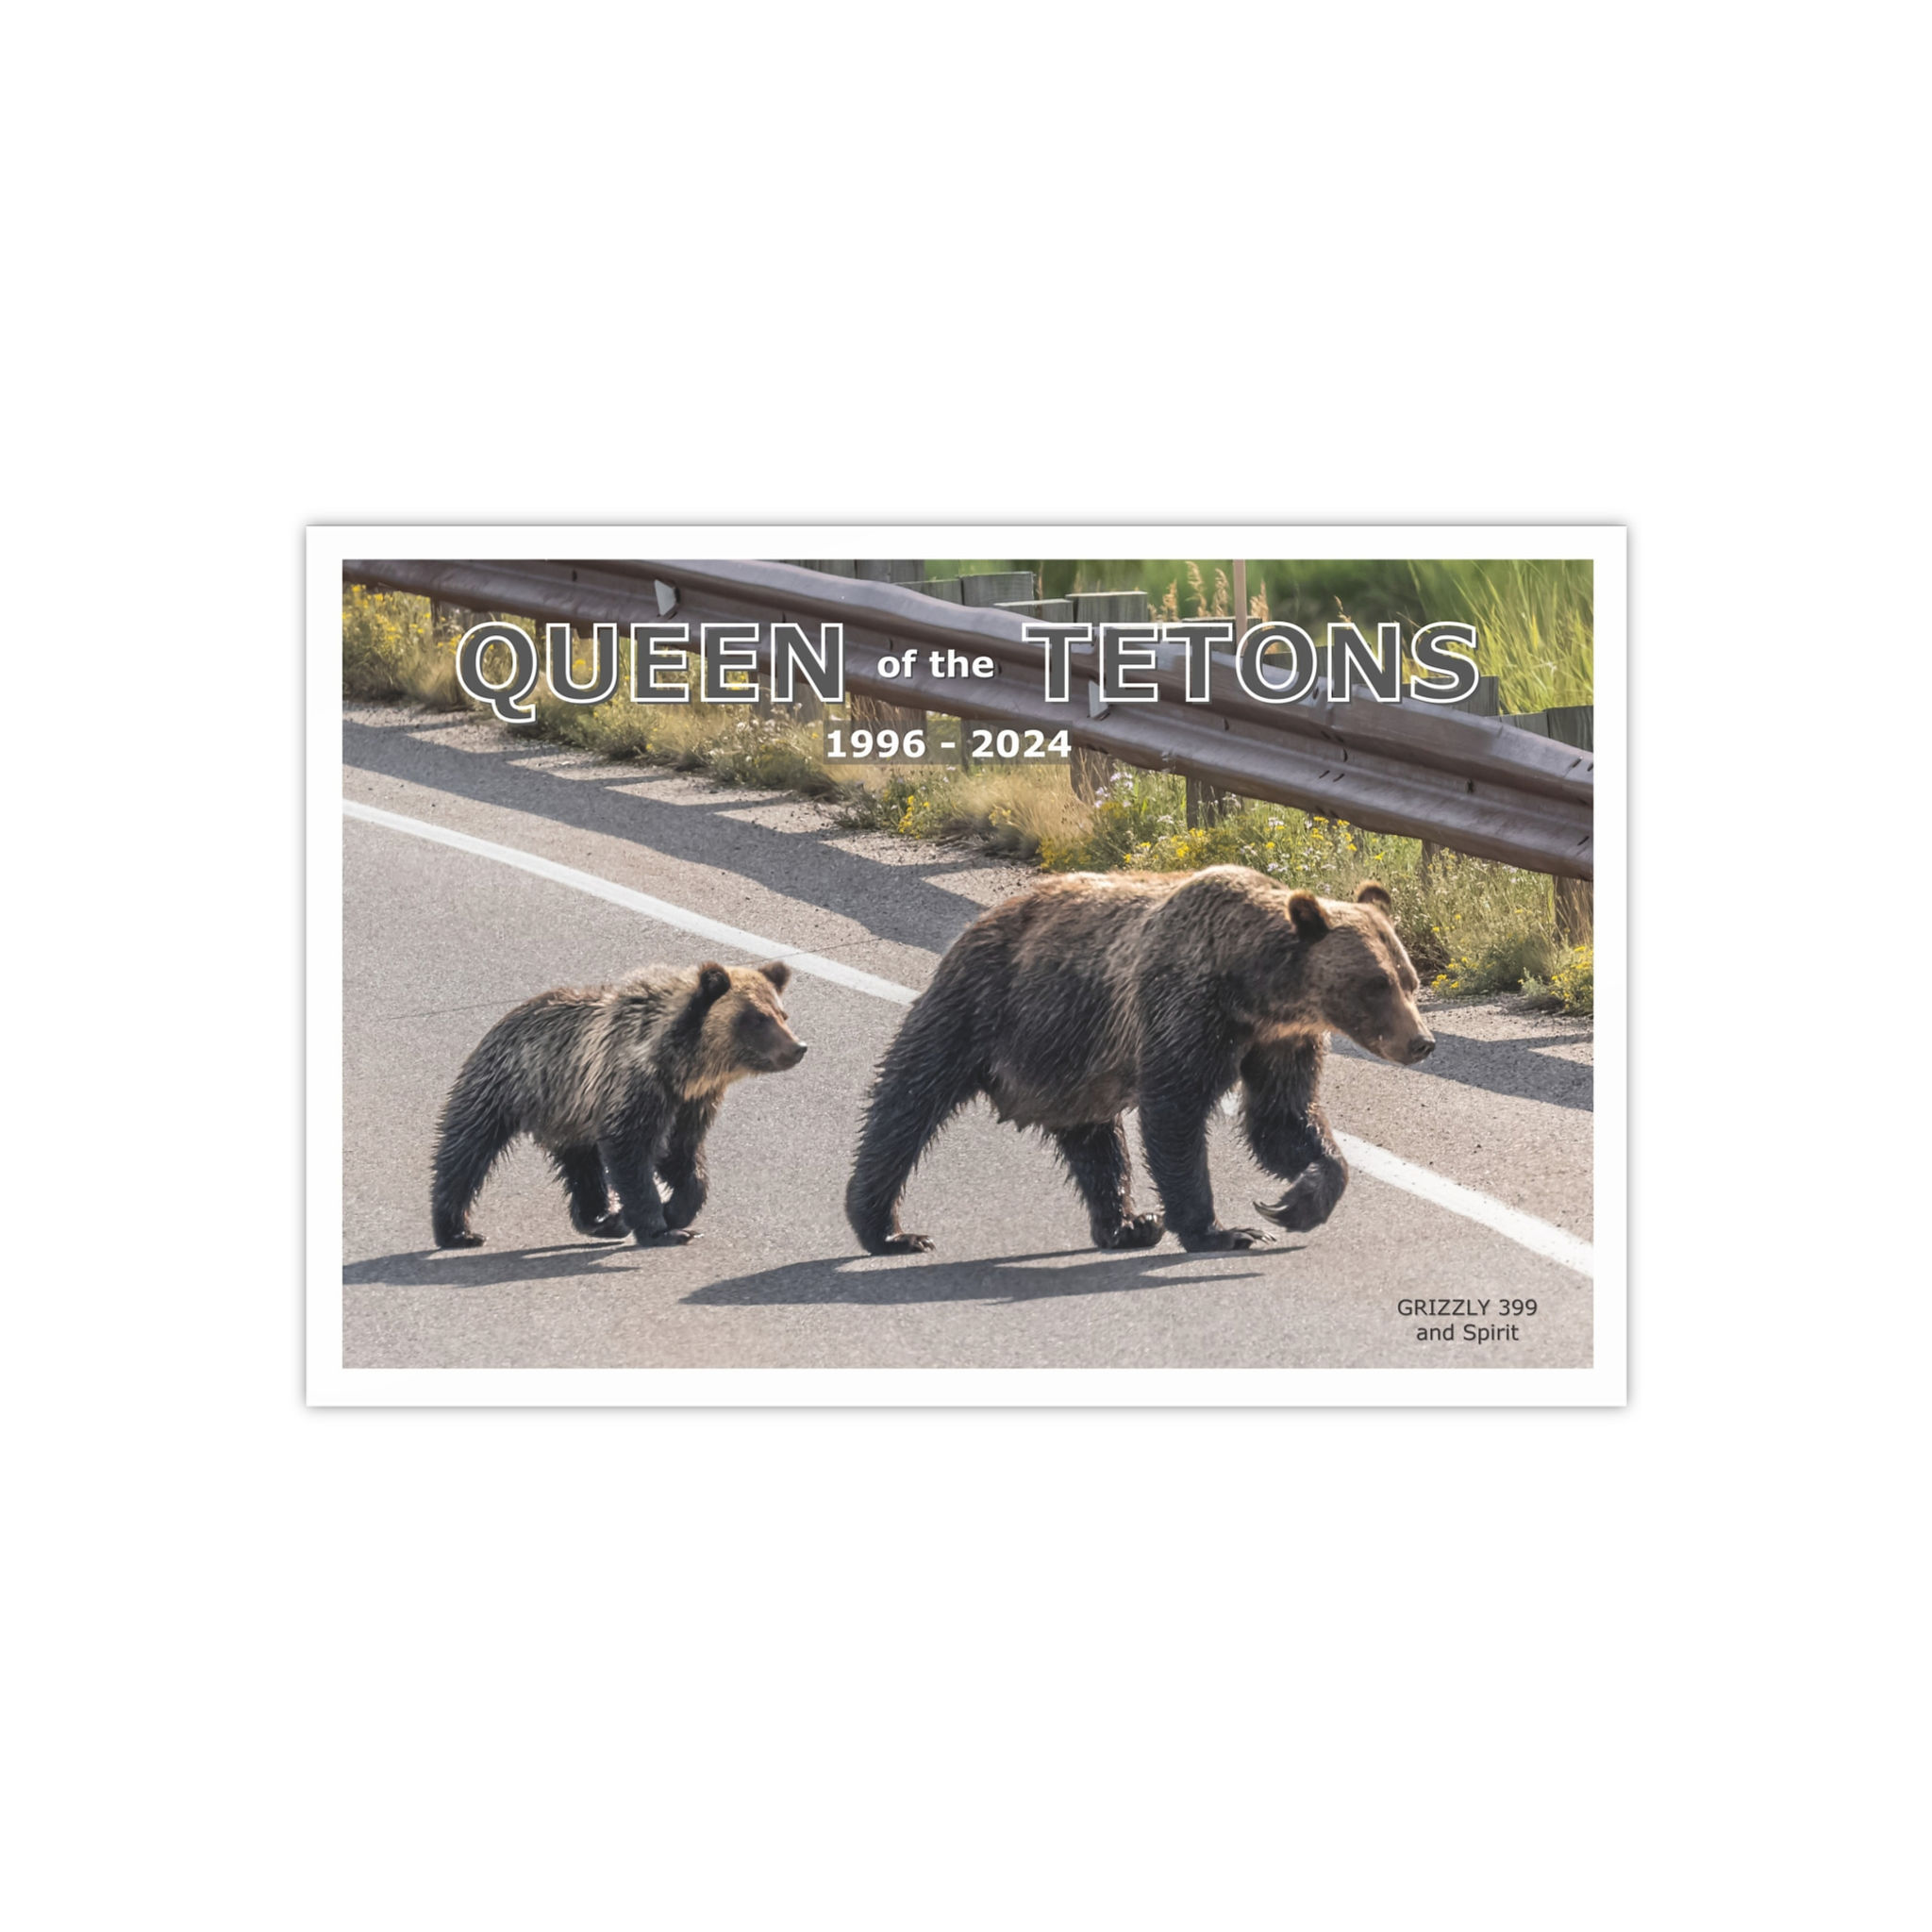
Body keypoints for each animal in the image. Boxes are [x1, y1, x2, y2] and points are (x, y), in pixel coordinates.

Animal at [431, 959, 806, 1249]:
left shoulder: (691, 1103)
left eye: (782, 1013)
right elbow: (632, 1153)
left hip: (570, 1115)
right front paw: (661, 1228)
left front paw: (676, 1211)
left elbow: (682, 1156)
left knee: (582, 1167)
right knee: (466, 1148)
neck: (681, 1066)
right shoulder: (635, 1087)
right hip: (508, 1085)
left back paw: (601, 1218)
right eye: (757, 1018)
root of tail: (507, 1017)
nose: (798, 1047)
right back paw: (457, 1230)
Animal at [845, 870, 1433, 1256]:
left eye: (1409, 980)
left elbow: (1282, 1118)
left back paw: (1127, 1224)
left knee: (1096, 1142)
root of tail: (986, 916)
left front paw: (1296, 1200)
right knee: (908, 1103)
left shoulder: (1281, 1041)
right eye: (1377, 983)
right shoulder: (1186, 1009)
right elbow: (1176, 1112)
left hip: (1073, 1066)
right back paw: (888, 1228)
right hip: (981, 1008)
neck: (1254, 991)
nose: (1421, 1042)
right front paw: (1224, 1230)